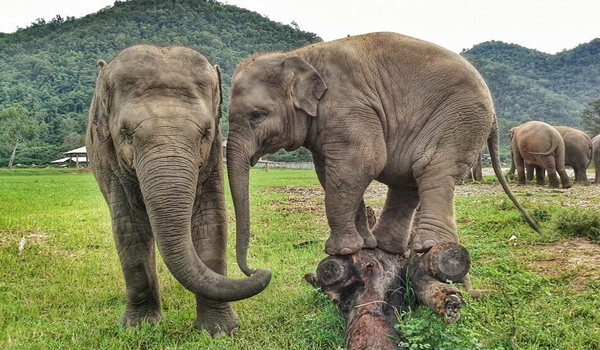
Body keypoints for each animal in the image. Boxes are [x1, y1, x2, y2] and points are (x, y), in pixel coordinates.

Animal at [86, 44, 270, 336]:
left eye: (205, 133)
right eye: (125, 134)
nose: (259, 270)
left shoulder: (213, 155)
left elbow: (210, 221)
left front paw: (220, 330)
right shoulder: (108, 158)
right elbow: (129, 227)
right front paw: (139, 327)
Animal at [225, 32, 540, 278]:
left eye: (257, 115)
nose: (257, 271)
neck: (298, 55)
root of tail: (494, 110)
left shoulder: (349, 106)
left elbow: (363, 162)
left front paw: (339, 250)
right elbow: (330, 173)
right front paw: (360, 246)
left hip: (460, 117)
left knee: (431, 168)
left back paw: (427, 246)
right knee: (409, 181)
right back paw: (384, 246)